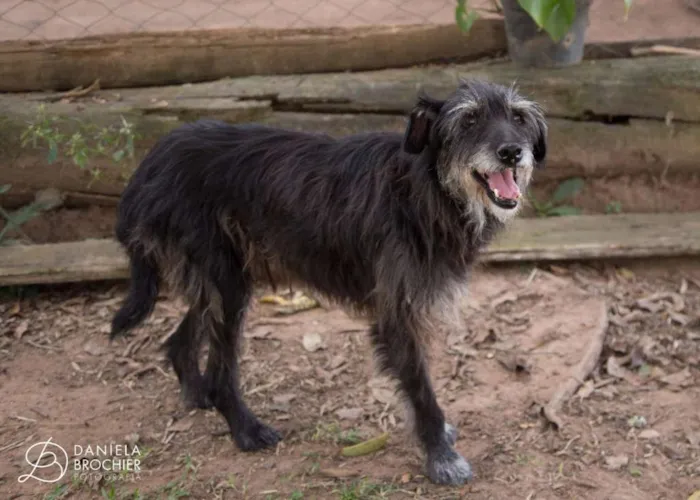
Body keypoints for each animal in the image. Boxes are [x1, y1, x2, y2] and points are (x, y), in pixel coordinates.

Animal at [109, 79, 548, 484]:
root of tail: (152, 160)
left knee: (179, 340)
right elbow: (421, 391)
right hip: (226, 283)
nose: (512, 152)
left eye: (518, 118)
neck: (426, 188)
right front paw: (440, 456)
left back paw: (197, 394)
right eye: (469, 119)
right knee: (221, 369)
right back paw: (246, 430)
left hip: (218, 281)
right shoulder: (396, 315)